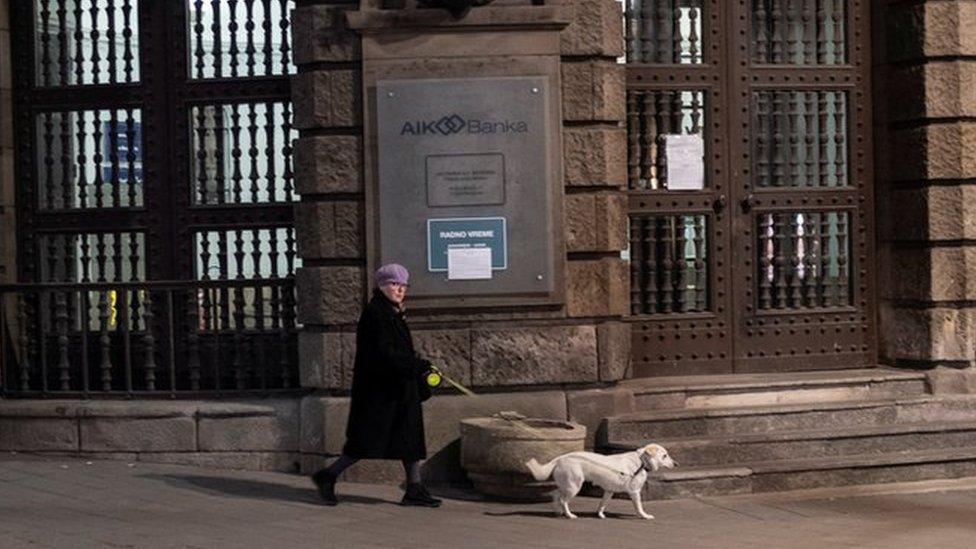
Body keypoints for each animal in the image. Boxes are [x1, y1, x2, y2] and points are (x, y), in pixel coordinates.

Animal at [528, 446, 680, 520]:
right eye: (665, 456)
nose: (676, 464)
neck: (641, 462)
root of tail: (561, 458)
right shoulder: (635, 492)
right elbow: (639, 507)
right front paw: (644, 516)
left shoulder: (609, 491)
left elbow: (602, 504)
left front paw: (600, 515)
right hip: (574, 487)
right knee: (563, 501)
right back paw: (569, 515)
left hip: (567, 485)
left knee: (555, 495)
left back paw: (558, 512)